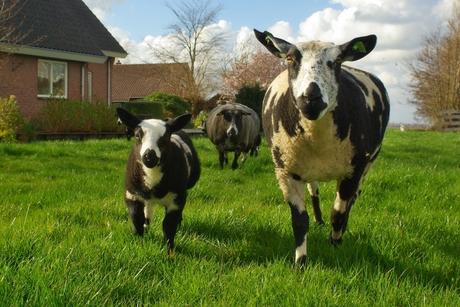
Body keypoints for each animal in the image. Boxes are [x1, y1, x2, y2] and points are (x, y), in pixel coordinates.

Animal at [115, 107, 199, 254]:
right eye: (137, 135)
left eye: (165, 137)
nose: (149, 156)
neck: (152, 179)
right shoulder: (131, 194)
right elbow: (136, 217)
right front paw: (138, 239)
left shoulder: (177, 197)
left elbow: (169, 225)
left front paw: (169, 249)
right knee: (147, 209)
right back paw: (146, 225)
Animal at [253, 30, 390, 268]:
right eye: (290, 59)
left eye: (337, 60)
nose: (311, 98)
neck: (316, 135)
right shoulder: (286, 171)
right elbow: (299, 221)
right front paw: (300, 263)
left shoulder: (353, 170)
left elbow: (338, 214)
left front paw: (335, 243)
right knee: (314, 190)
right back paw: (318, 220)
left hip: (367, 163)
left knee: (352, 200)